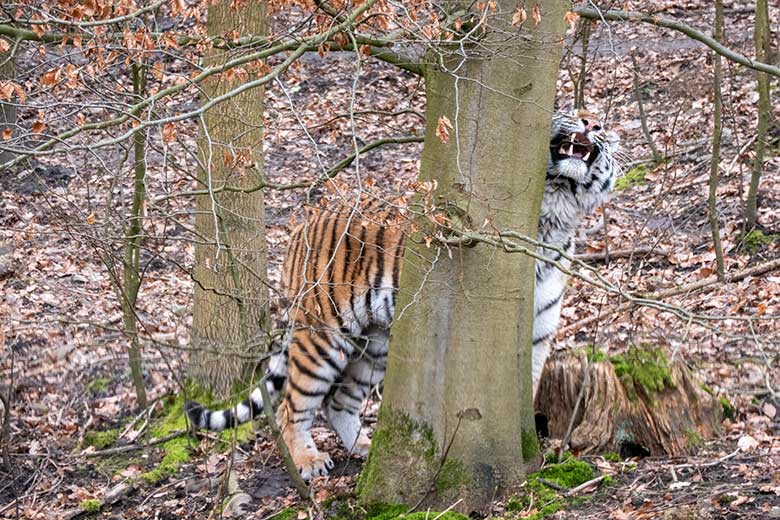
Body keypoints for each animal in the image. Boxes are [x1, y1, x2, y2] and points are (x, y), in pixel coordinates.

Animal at [187, 112, 620, 480]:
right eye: (572, 111)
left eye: (601, 124)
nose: (592, 122)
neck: (553, 215)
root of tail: (301, 227)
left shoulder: (538, 331)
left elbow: (526, 384)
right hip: (322, 338)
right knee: (291, 407)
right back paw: (309, 462)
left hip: (375, 345)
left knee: (337, 403)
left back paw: (363, 447)